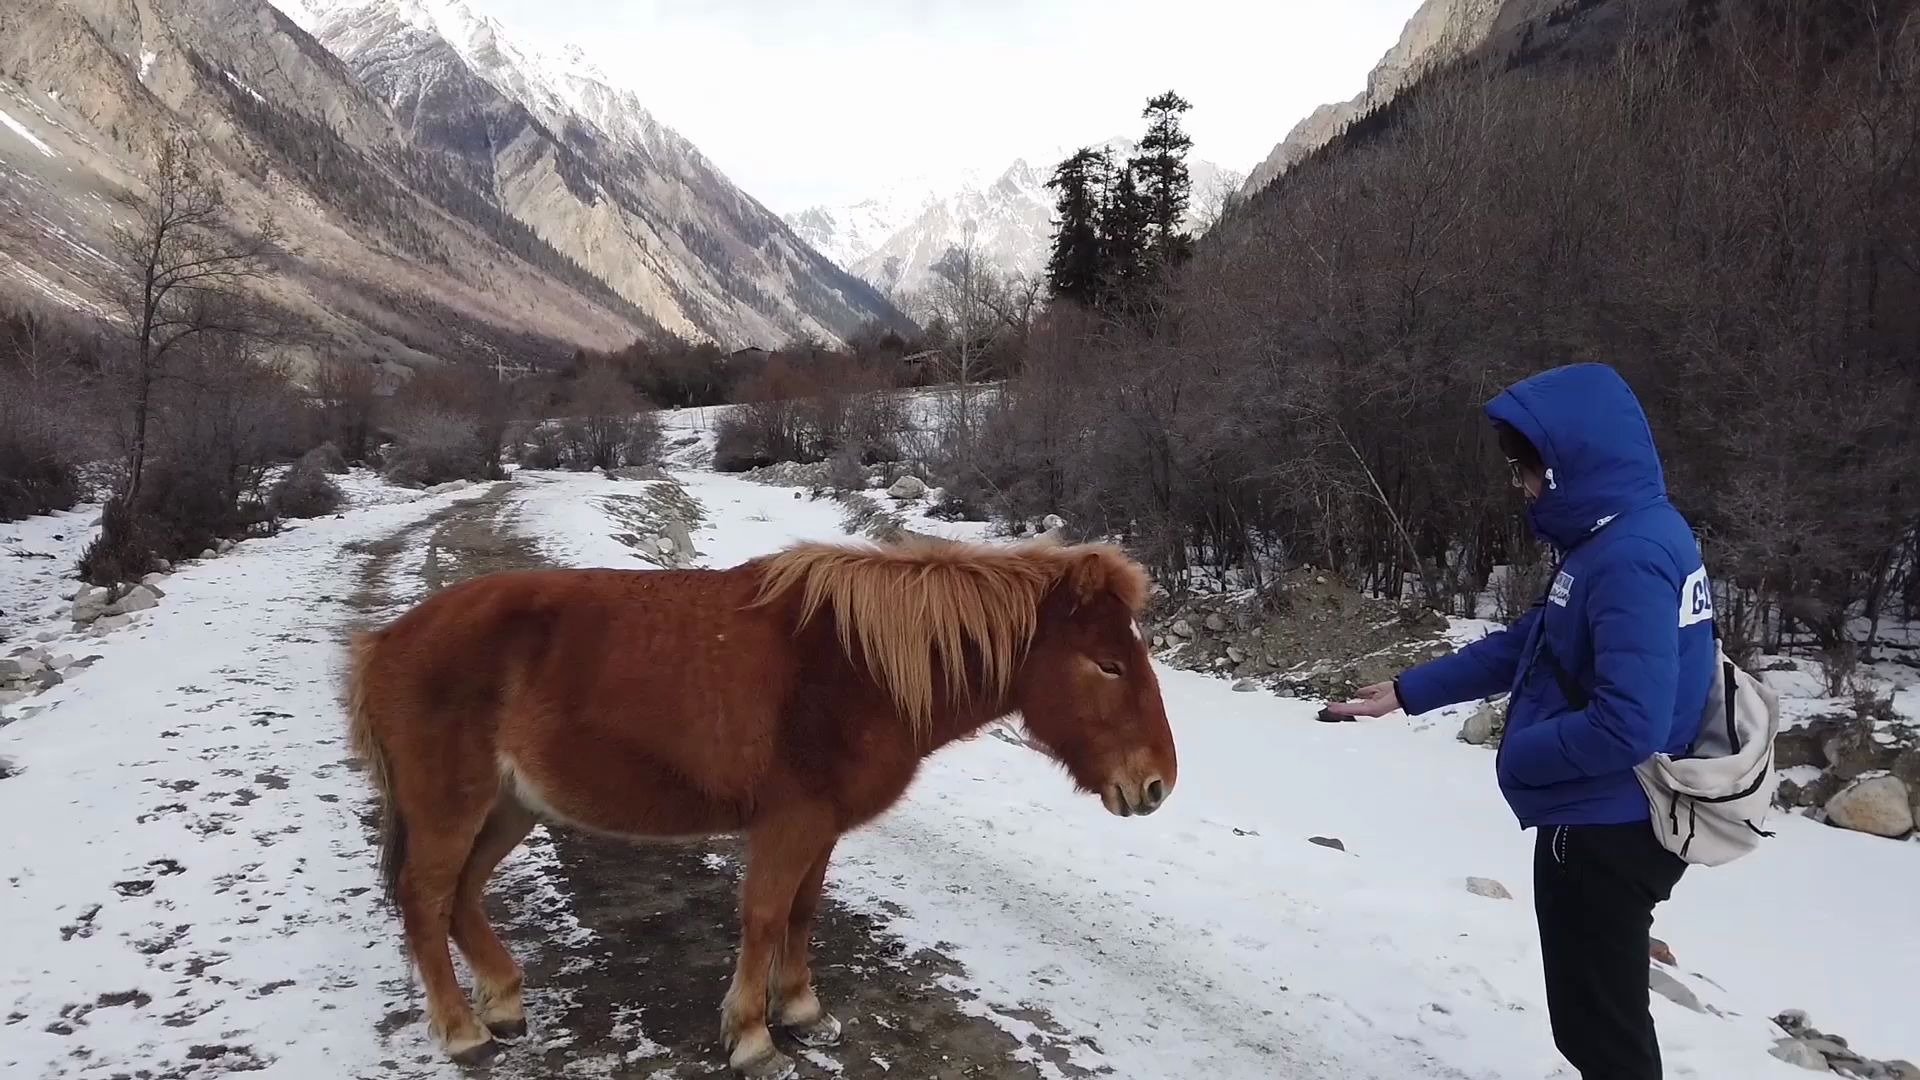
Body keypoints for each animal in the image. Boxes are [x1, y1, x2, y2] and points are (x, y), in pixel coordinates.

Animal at [347, 534, 1175, 1068]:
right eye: (1107, 664)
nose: (1157, 784)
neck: (855, 667)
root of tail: (386, 642)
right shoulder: (788, 823)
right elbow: (766, 915)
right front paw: (751, 1037)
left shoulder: (822, 827)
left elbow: (802, 913)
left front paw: (802, 1010)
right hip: (453, 807)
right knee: (425, 899)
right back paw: (463, 1031)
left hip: (509, 807)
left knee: (460, 896)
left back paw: (504, 1001)